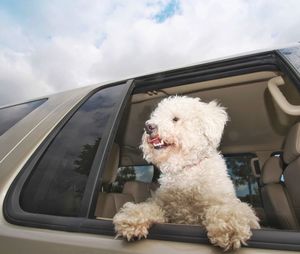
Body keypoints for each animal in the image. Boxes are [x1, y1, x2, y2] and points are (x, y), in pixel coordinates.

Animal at [113, 96, 258, 251]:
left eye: (175, 119)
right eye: (155, 116)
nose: (148, 127)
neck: (186, 169)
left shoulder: (224, 201)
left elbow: (230, 211)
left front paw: (229, 227)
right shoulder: (164, 207)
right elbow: (147, 207)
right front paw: (130, 218)